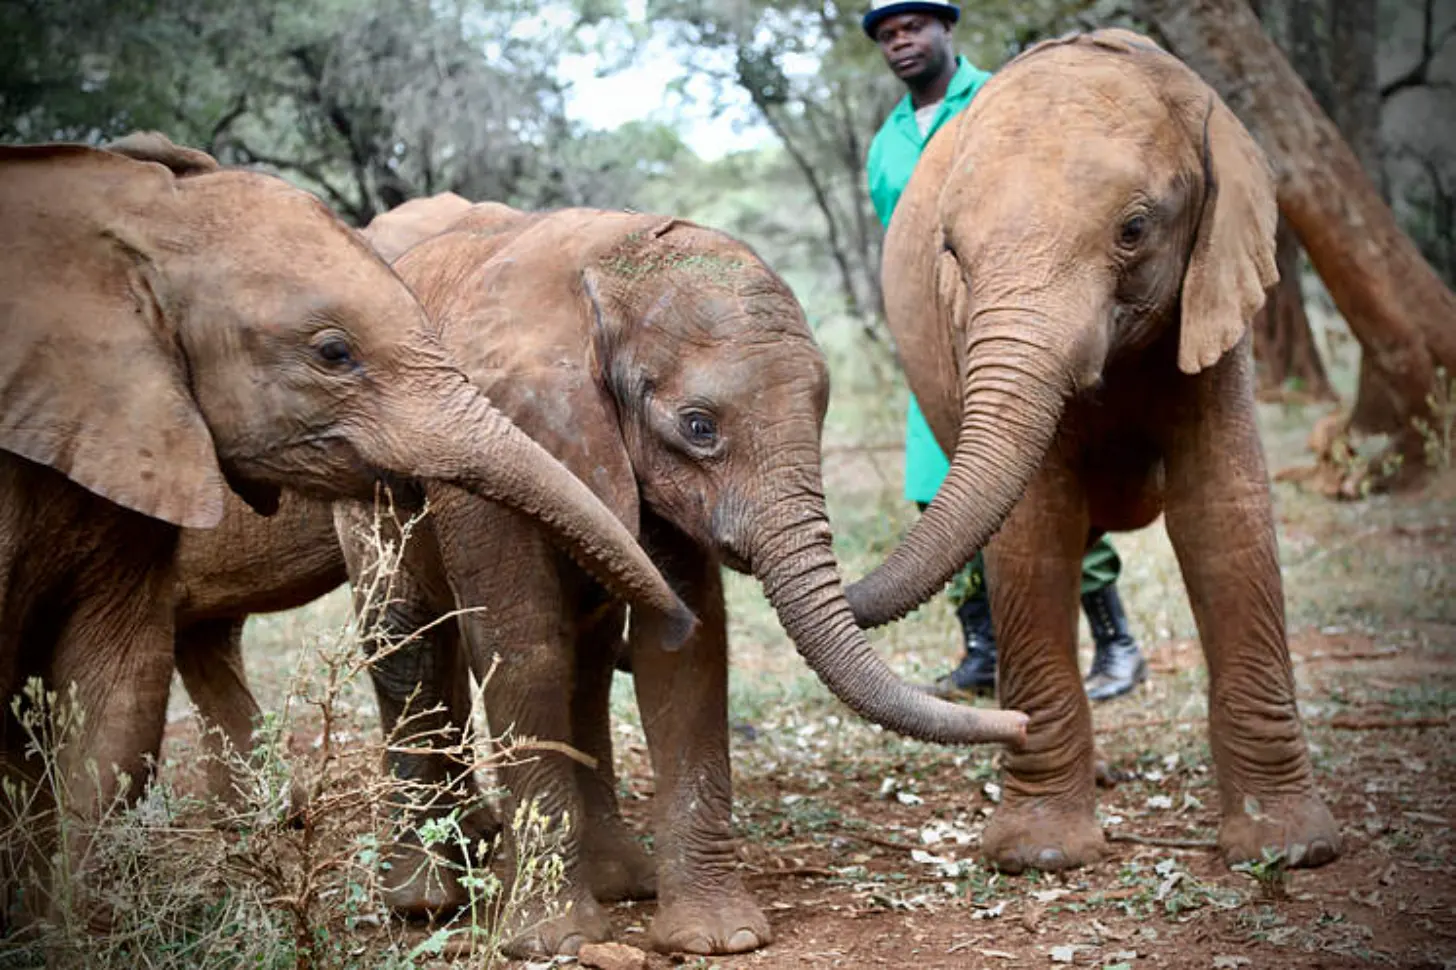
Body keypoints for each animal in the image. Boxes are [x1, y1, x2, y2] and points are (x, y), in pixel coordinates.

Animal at [842, 30, 1341, 875]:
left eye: (1134, 230)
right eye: (951, 252)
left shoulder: (1216, 288)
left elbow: (1223, 515)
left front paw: (1290, 847)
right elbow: (1031, 532)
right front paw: (1040, 853)